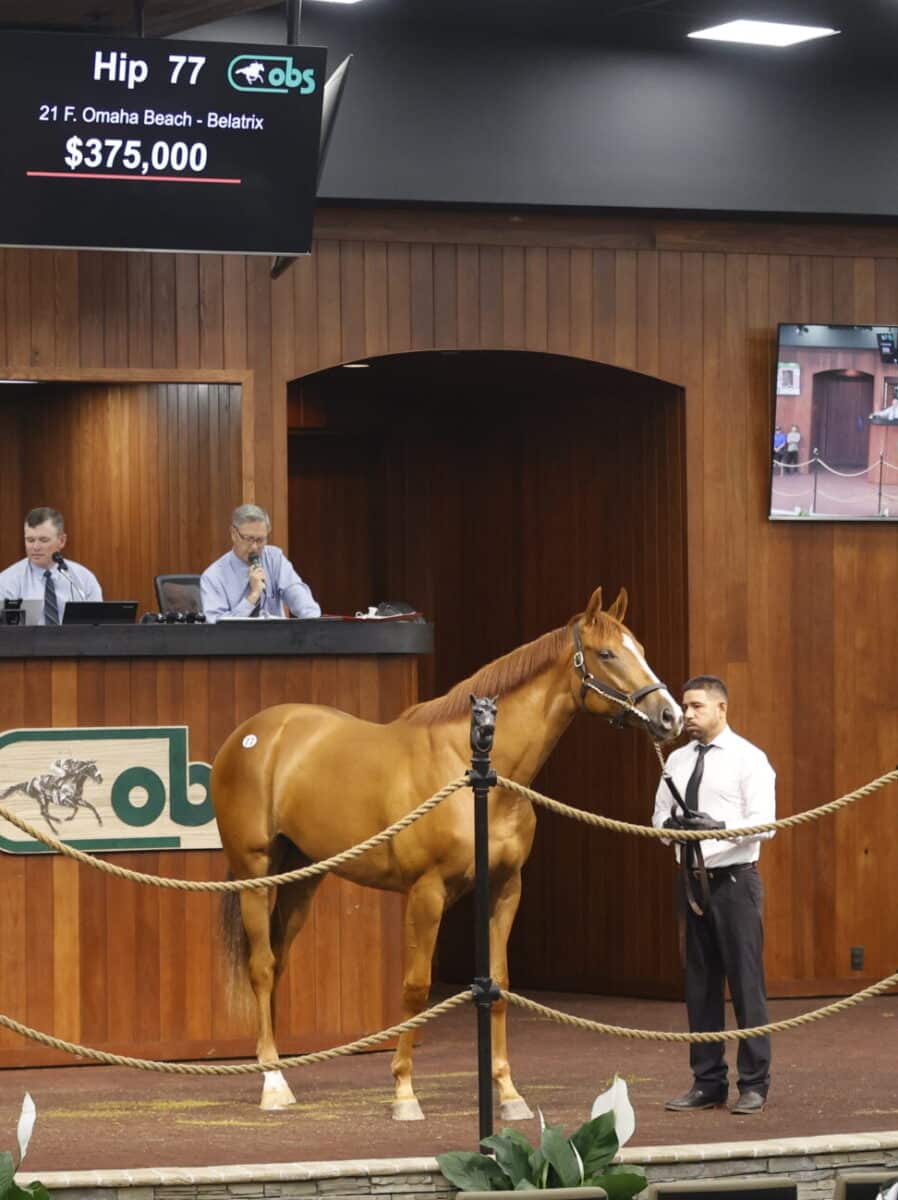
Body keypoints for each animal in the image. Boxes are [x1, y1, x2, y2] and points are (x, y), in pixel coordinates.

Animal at [213, 588, 681, 1113]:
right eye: (607, 654)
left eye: (640, 648)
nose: (671, 716)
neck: (473, 773)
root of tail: (252, 734)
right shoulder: (427, 892)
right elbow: (416, 988)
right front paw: (403, 1091)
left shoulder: (505, 888)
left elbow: (499, 985)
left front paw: (508, 1093)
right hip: (255, 872)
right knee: (261, 967)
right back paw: (272, 1082)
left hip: (303, 877)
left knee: (277, 961)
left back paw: (280, 1071)